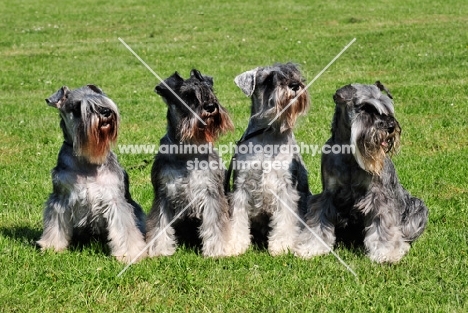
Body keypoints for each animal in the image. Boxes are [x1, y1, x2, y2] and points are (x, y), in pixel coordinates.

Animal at [36, 84, 146, 262]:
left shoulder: (115, 200)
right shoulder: (60, 198)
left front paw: (130, 253)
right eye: (77, 108)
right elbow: (55, 225)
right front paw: (52, 246)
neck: (87, 159)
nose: (105, 112)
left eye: (101, 99)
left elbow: (125, 228)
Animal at [146, 69, 236, 258]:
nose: (211, 107)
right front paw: (159, 250)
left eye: (210, 90)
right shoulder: (163, 194)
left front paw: (218, 250)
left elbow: (216, 223)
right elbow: (159, 224)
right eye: (187, 96)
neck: (187, 151)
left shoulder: (210, 191)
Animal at [227, 62, 310, 255]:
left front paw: (281, 245)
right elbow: (237, 217)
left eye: (294, 72)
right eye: (268, 79)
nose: (295, 85)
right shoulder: (241, 186)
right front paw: (235, 244)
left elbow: (285, 220)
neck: (269, 133)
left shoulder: (286, 187)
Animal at [294, 81, 430, 262]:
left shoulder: (379, 197)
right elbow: (319, 222)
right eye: (365, 108)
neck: (349, 154)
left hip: (418, 208)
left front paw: (387, 252)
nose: (391, 127)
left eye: (387, 108)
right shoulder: (327, 195)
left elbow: (383, 226)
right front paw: (311, 247)